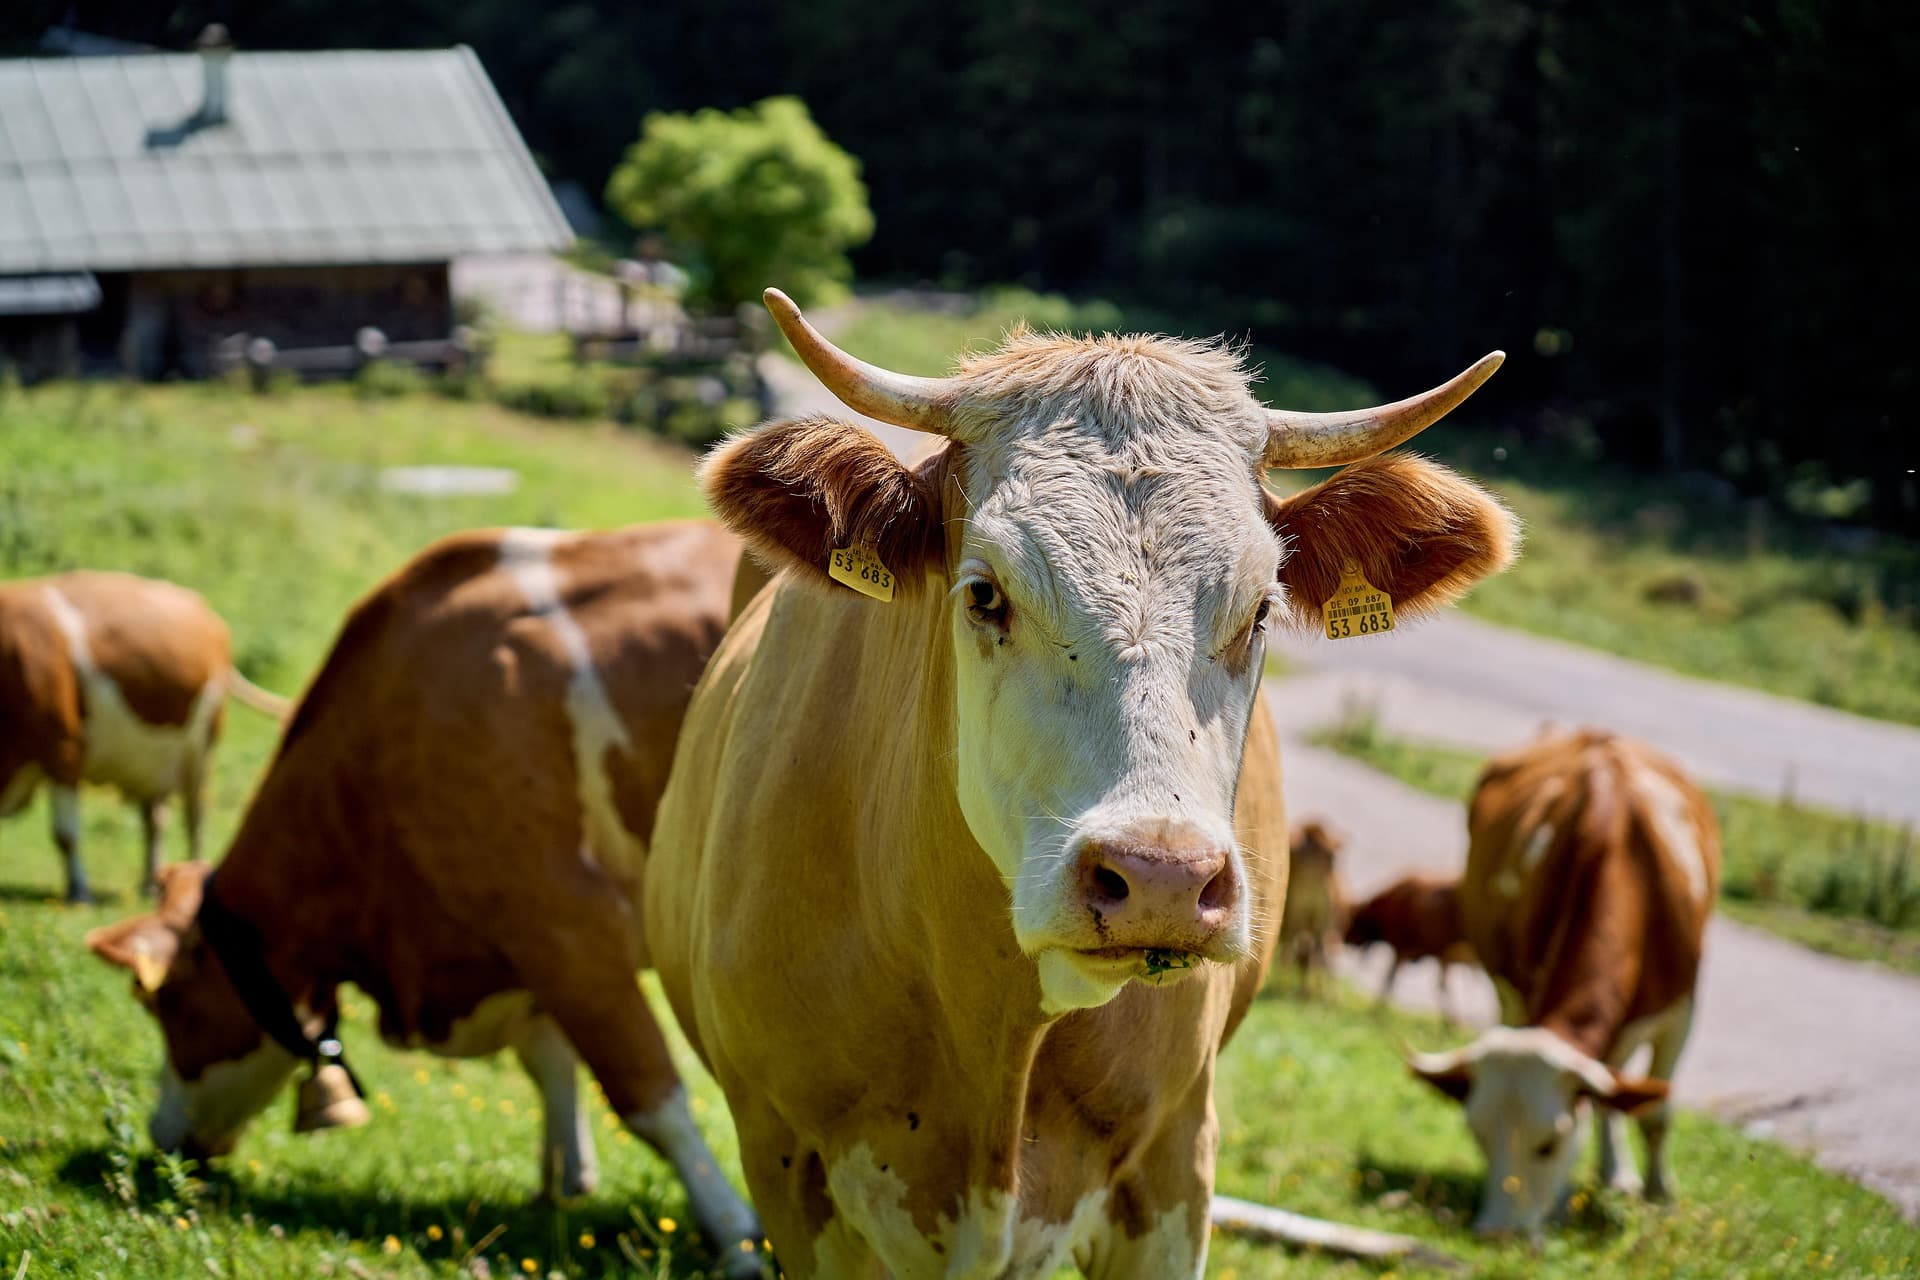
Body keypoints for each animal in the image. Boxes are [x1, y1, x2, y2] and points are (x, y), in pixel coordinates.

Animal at [1, 571, 289, 903]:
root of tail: (205, 613)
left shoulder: (64, 748)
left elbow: (65, 834)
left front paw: (79, 891)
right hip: (151, 757)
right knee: (155, 820)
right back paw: (151, 881)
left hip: (198, 749)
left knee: (194, 814)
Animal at [85, 521, 766, 1275]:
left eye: (169, 1005)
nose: (161, 1137)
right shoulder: (523, 947)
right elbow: (549, 1060)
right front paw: (563, 1181)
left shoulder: (569, 927)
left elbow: (652, 1102)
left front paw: (736, 1236)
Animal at [1343, 874, 1475, 1021]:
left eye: (1353, 919)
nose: (1345, 939)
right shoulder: (1440, 956)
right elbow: (1442, 986)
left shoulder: (1402, 948)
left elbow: (1389, 978)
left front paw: (1377, 1011)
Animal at [1408, 729, 1719, 1237]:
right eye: (1478, 1135)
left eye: (1549, 1144)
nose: (1498, 1234)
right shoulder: (1523, 988)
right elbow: (1599, 1099)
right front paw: (1560, 1204)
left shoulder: (1680, 1011)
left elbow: (1653, 1113)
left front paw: (1660, 1196)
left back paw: (1621, 1175)